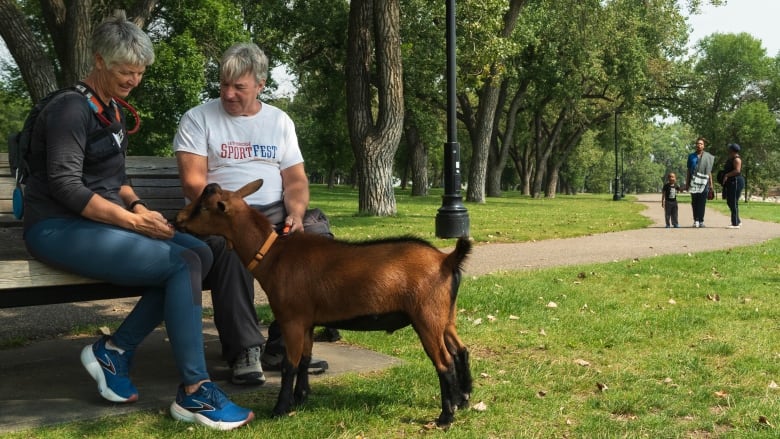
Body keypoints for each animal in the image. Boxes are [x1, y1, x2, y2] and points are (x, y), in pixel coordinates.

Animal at [174, 179, 472, 426]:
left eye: (203, 207)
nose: (177, 219)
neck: (273, 254)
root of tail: (446, 260)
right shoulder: (307, 321)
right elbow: (305, 360)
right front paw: (301, 398)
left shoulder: (292, 319)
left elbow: (290, 364)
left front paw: (280, 408)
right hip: (445, 316)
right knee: (460, 350)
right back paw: (465, 399)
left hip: (426, 317)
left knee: (444, 362)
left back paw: (445, 417)